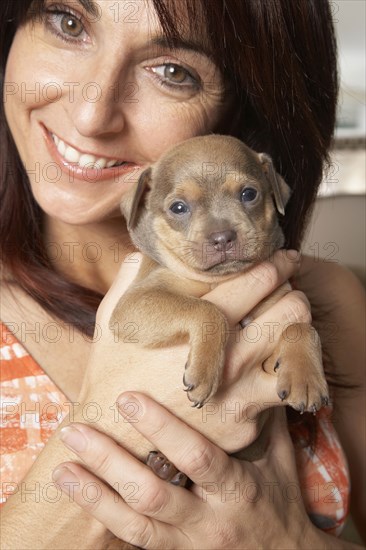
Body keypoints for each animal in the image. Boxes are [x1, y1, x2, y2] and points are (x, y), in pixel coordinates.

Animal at [109, 135, 328, 414]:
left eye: (249, 194)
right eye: (178, 207)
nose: (222, 238)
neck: (220, 279)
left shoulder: (280, 304)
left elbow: (301, 326)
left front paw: (305, 377)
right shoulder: (135, 302)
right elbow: (209, 310)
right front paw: (204, 373)